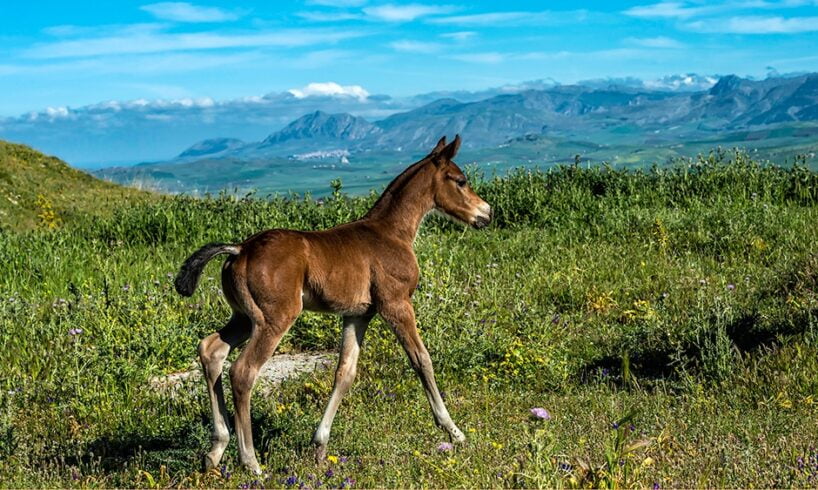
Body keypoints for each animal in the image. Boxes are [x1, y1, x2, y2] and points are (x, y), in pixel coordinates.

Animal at [175, 135, 488, 474]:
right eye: (461, 180)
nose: (486, 213)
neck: (393, 233)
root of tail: (239, 249)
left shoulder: (357, 315)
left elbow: (345, 372)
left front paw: (320, 446)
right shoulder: (396, 304)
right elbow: (421, 359)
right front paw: (454, 431)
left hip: (244, 317)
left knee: (212, 350)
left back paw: (215, 450)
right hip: (274, 318)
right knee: (243, 371)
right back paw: (251, 462)